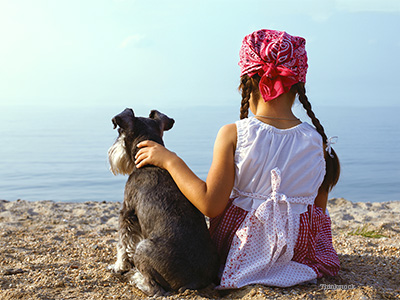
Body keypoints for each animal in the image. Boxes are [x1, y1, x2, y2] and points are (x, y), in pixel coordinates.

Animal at [107, 108, 219, 298]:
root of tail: (195, 281)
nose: (111, 152)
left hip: (143, 249)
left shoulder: (127, 212)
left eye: (120, 131)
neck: (150, 163)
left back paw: (134, 278)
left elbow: (123, 243)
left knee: (155, 288)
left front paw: (118, 266)